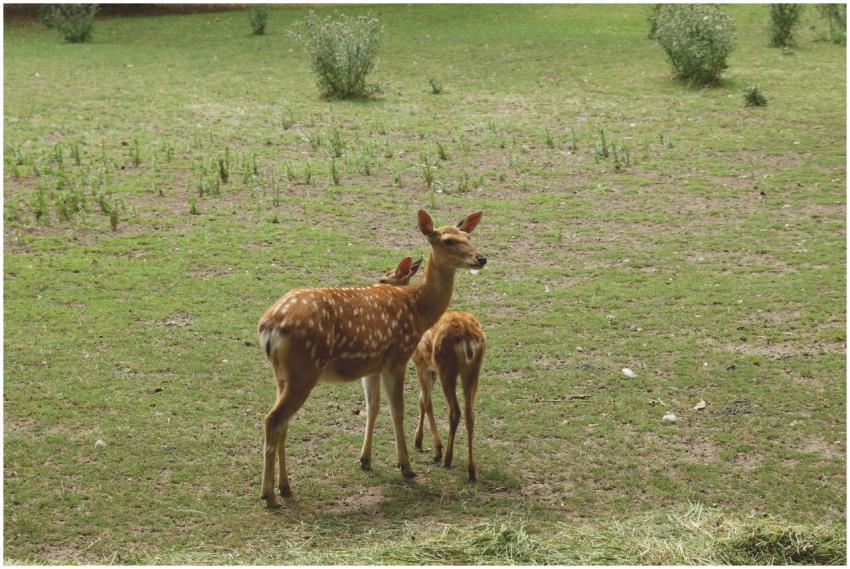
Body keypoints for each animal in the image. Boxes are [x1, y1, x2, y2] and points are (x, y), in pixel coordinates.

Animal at [379, 258, 486, 482]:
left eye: (384, 279)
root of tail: (468, 337)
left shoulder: (421, 362)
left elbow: (426, 402)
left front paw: (435, 448)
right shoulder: (431, 368)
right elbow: (421, 400)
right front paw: (418, 440)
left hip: (448, 368)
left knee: (455, 411)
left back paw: (447, 458)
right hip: (473, 370)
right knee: (470, 413)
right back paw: (471, 470)